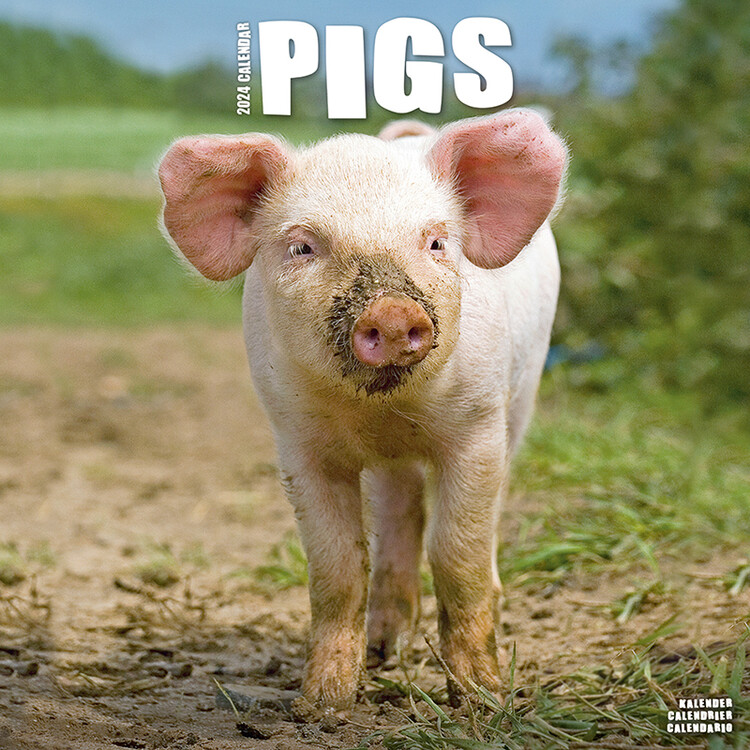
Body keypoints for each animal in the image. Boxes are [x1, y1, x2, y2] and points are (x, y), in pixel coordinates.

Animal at [158, 109, 566, 710]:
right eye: (303, 247)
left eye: (436, 241)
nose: (393, 313)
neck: (385, 412)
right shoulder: (297, 443)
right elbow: (338, 566)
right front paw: (322, 704)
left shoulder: (478, 427)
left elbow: (457, 554)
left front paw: (482, 698)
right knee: (400, 512)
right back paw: (381, 651)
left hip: (525, 392)